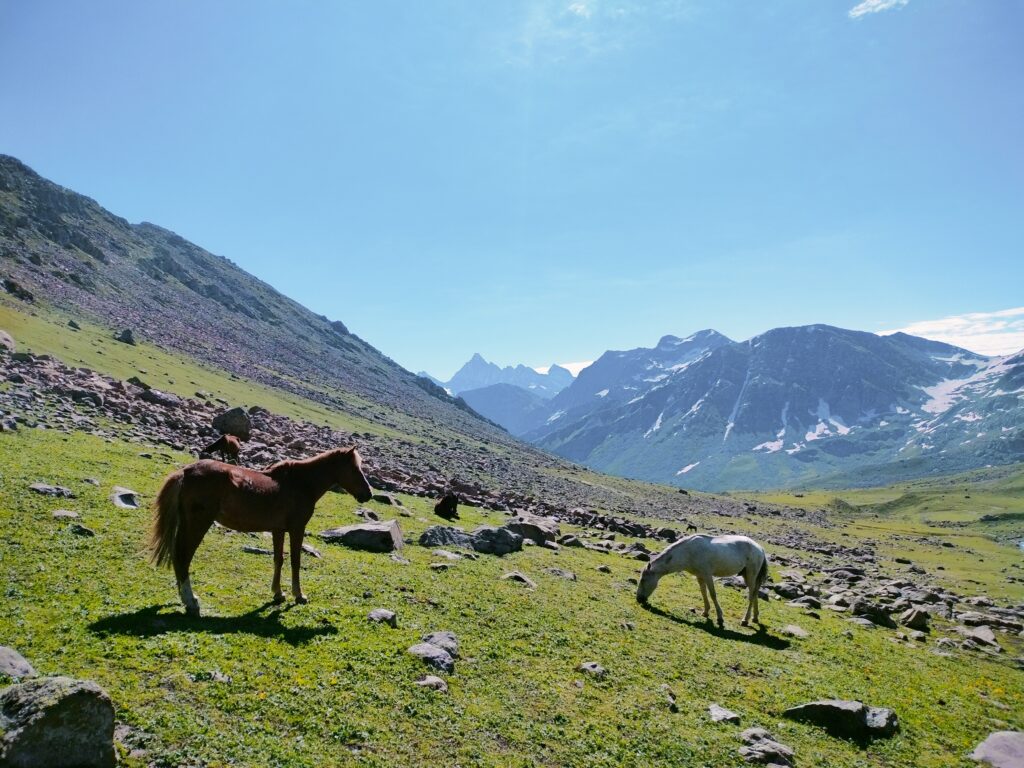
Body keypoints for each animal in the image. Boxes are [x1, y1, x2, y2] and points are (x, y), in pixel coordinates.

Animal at [149, 444, 374, 618]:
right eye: (355, 469)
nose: (368, 494)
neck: (300, 483)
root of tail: (186, 472)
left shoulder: (278, 530)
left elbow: (278, 559)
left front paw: (278, 593)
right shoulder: (296, 529)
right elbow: (295, 561)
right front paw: (299, 595)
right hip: (198, 524)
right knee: (183, 557)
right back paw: (191, 601)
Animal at [630, 536, 770, 630]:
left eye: (643, 580)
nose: (639, 599)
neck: (688, 552)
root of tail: (760, 549)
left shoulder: (707, 575)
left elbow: (713, 594)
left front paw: (720, 618)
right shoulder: (700, 576)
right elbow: (703, 593)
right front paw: (705, 612)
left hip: (751, 575)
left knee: (752, 595)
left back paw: (745, 620)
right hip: (747, 576)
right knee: (755, 594)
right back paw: (755, 617)